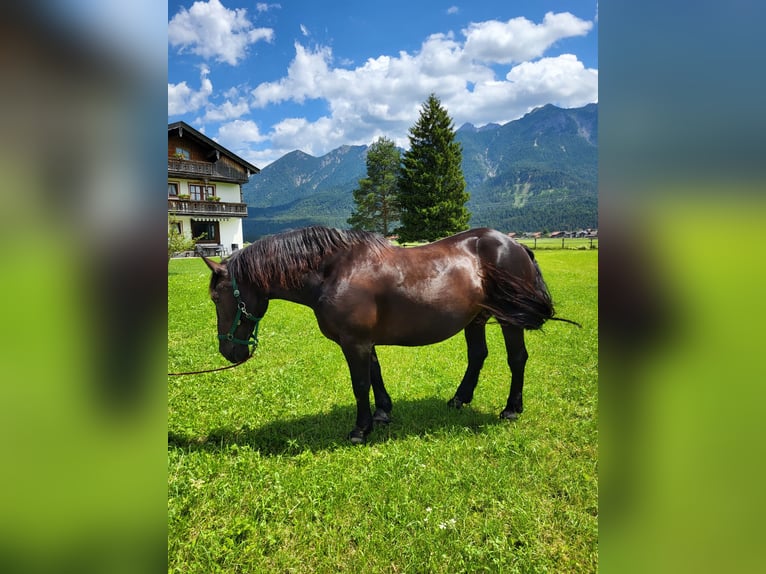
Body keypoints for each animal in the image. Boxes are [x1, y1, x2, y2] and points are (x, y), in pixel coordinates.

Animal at [204, 225, 576, 446]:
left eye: (216, 298)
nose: (229, 352)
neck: (334, 272)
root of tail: (515, 245)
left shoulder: (354, 343)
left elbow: (360, 384)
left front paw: (361, 428)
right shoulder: (364, 342)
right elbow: (375, 374)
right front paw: (383, 414)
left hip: (509, 320)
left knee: (517, 359)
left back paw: (511, 408)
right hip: (476, 319)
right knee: (477, 357)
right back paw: (459, 399)